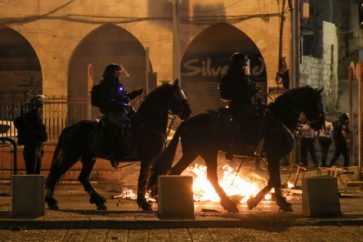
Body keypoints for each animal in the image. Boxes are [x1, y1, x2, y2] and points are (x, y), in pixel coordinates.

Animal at [44, 79, 191, 210]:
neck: (147, 123)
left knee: (83, 177)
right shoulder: (147, 158)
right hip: (71, 155)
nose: (188, 113)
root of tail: (69, 128)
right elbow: (142, 180)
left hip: (89, 158)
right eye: (177, 96)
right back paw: (51, 201)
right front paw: (144, 203)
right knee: (56, 173)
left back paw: (98, 201)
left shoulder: (152, 159)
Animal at [149, 86, 326, 212]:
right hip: (207, 152)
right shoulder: (273, 156)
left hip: (193, 153)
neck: (280, 118)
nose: (321, 123)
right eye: (317, 101)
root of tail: (187, 122)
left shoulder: (271, 158)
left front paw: (261, 201)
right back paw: (228, 203)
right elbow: (275, 180)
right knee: (210, 177)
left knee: (176, 171)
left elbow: (272, 180)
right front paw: (271, 202)